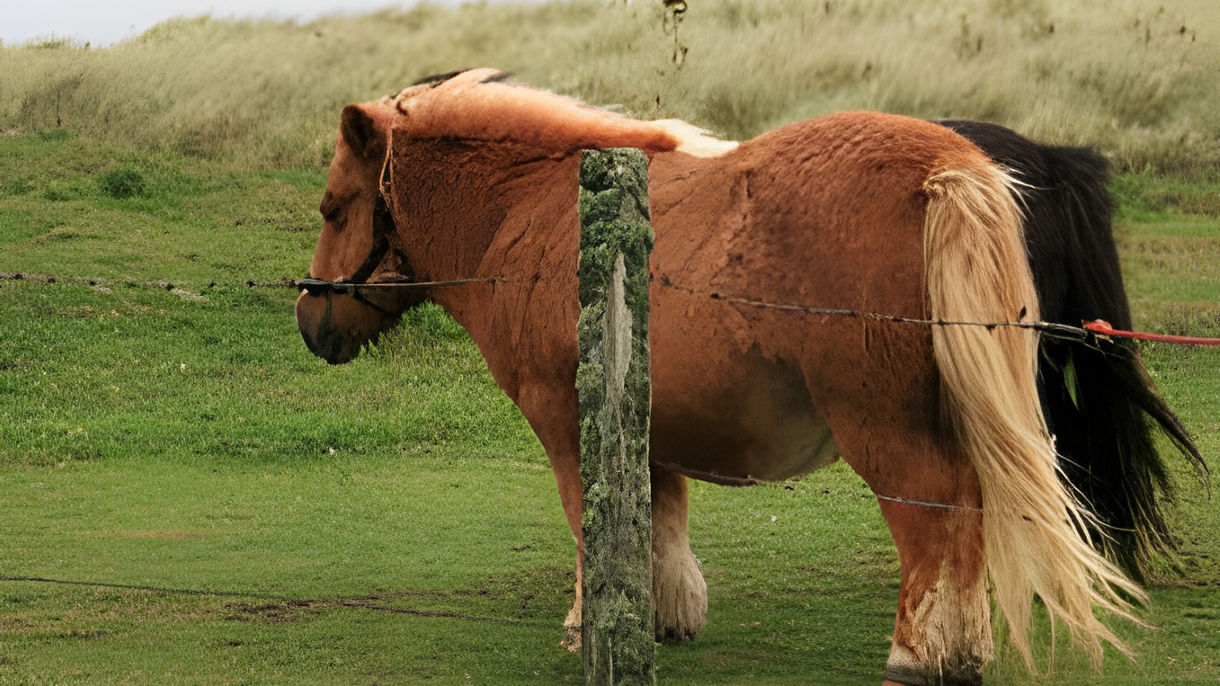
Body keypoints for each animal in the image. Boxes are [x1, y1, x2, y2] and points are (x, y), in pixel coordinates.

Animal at [297, 69, 1161, 685]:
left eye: (334, 208)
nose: (310, 321)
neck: (537, 209)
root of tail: (945, 167)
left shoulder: (569, 425)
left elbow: (587, 524)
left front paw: (588, 622)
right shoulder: (651, 427)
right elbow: (660, 522)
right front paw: (662, 618)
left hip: (889, 433)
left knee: (937, 519)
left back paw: (920, 657)